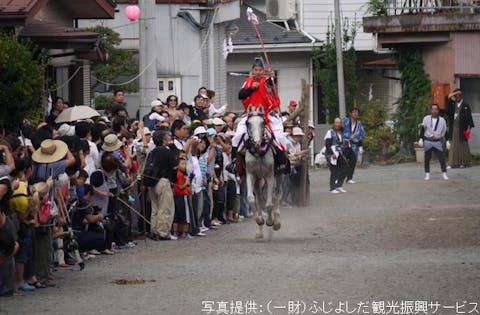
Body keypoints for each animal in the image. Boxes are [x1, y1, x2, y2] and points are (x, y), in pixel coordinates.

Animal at [244, 105, 282, 239]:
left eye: (263, 123)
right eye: (248, 123)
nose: (256, 143)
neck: (258, 153)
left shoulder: (270, 175)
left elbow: (269, 203)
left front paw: (271, 221)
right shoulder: (251, 175)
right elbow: (251, 199)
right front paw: (260, 220)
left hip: (279, 175)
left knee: (277, 195)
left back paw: (276, 222)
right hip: (258, 180)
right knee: (259, 198)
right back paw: (259, 231)